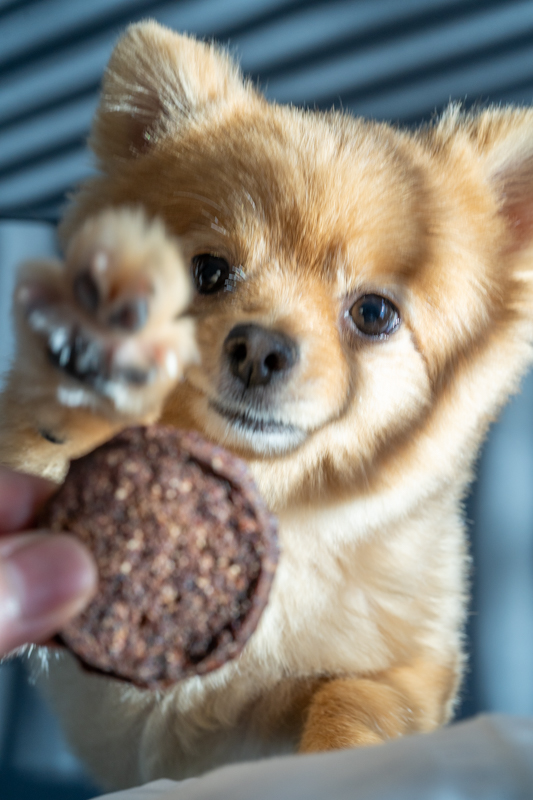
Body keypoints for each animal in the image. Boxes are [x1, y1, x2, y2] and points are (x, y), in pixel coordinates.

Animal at [1, 20, 532, 792]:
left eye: (374, 313)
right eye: (207, 272)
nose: (258, 348)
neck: (279, 500)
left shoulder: (403, 666)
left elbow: (354, 699)